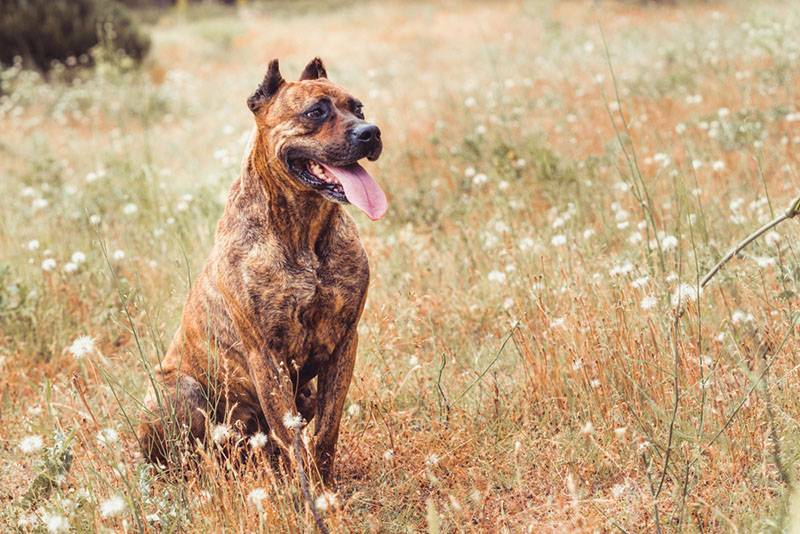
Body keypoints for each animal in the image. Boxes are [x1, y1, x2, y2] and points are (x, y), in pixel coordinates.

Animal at [139, 57, 390, 486]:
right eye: (316, 112)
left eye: (358, 108)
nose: (369, 132)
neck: (303, 231)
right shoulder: (266, 357)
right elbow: (294, 439)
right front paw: (310, 495)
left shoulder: (344, 343)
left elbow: (326, 429)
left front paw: (325, 485)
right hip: (177, 391)